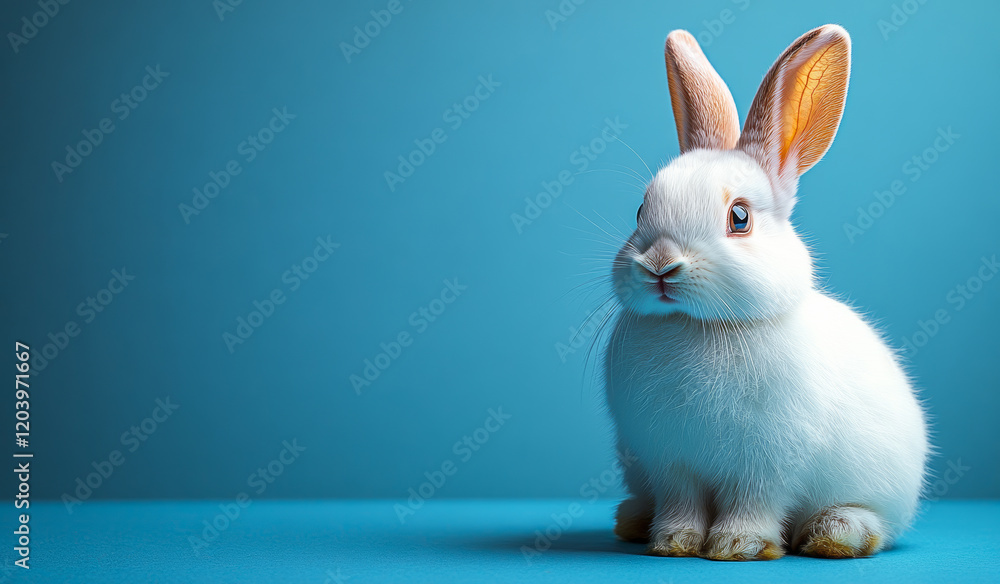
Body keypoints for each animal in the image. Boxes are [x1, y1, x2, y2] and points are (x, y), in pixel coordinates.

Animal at [604, 24, 928, 560]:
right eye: (640, 210)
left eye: (739, 218)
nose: (659, 266)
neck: (701, 326)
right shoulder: (669, 461)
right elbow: (680, 503)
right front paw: (673, 542)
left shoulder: (768, 461)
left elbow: (753, 501)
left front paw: (738, 545)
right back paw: (632, 519)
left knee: (874, 524)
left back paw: (835, 533)